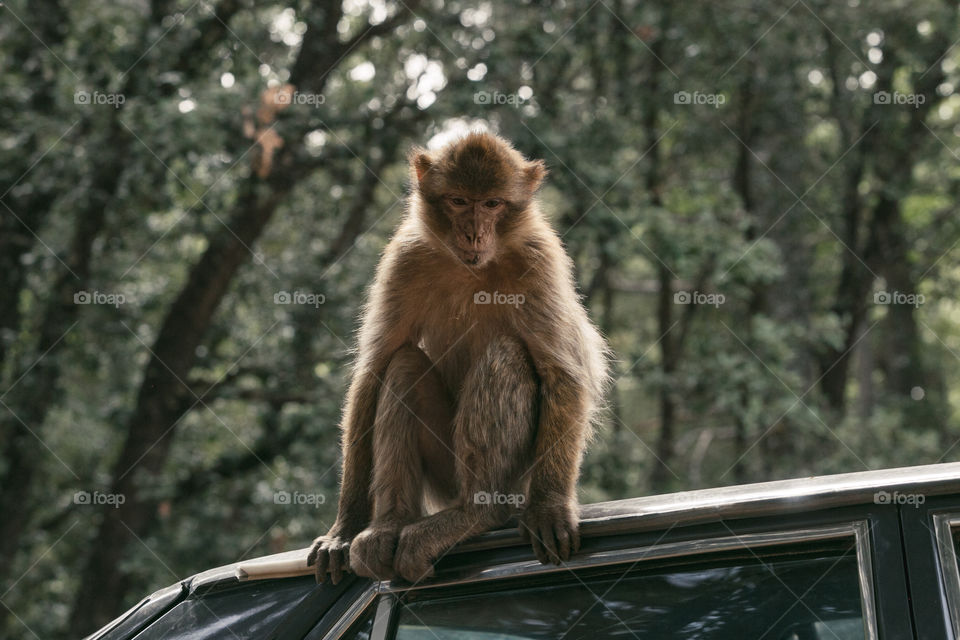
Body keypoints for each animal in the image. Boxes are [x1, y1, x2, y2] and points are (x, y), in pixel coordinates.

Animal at [307, 132, 609, 585]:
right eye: (459, 201)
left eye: (492, 204)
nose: (473, 234)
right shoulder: (406, 256)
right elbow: (373, 371)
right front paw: (344, 528)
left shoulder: (539, 258)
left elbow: (562, 373)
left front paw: (549, 506)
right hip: (444, 476)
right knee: (404, 366)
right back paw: (390, 524)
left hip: (516, 476)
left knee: (505, 353)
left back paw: (478, 512)